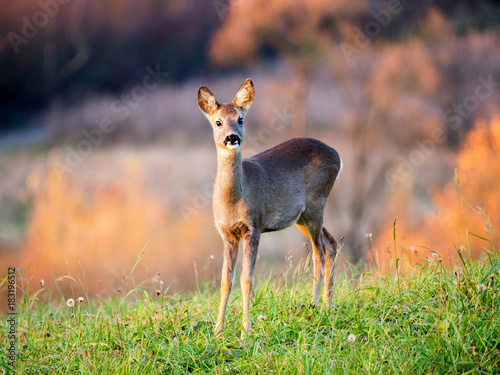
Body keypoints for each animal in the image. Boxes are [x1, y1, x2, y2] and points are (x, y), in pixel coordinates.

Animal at [197, 79, 342, 338]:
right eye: (218, 121)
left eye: (240, 119)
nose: (232, 138)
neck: (235, 198)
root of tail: (338, 155)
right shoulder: (227, 234)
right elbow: (225, 281)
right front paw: (218, 331)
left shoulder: (253, 227)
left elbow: (247, 280)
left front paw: (246, 332)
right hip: (301, 217)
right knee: (332, 244)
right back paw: (328, 304)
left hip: (317, 204)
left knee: (320, 252)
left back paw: (316, 305)